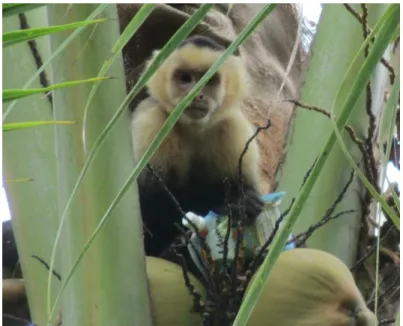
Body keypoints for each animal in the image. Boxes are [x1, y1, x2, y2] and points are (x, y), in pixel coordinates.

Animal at [131, 35, 266, 258]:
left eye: (210, 80)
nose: (197, 94)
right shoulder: (150, 122)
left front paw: (243, 201)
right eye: (185, 78)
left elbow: (247, 186)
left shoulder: (234, 126)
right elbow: (149, 201)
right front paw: (233, 205)